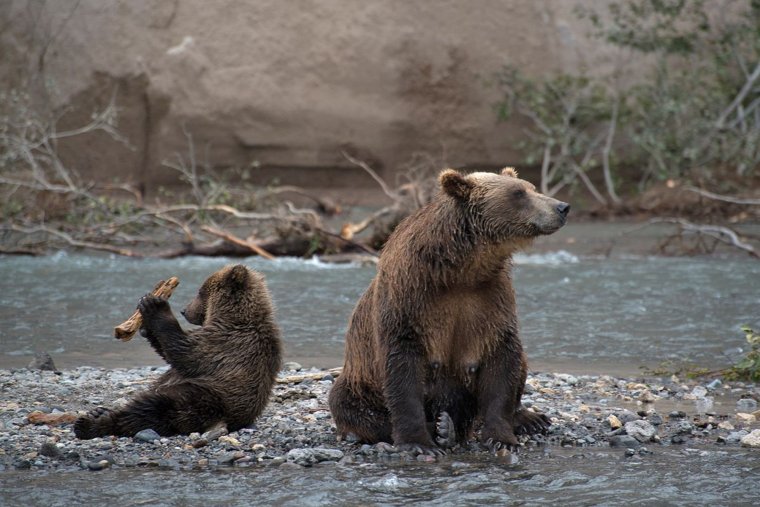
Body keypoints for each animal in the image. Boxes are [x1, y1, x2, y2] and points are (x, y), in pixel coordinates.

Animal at [73, 266, 282, 440]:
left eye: (200, 292)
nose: (183, 310)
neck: (231, 317)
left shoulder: (227, 342)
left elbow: (185, 352)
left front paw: (154, 305)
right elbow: (169, 354)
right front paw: (145, 325)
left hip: (203, 398)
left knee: (152, 409)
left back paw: (89, 424)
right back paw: (98, 412)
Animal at [330, 168, 568, 456]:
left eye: (531, 187)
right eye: (518, 193)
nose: (562, 207)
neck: (461, 269)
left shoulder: (491, 299)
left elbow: (502, 362)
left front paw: (501, 437)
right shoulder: (410, 297)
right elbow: (402, 365)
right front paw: (419, 443)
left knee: (520, 364)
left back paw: (527, 419)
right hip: (359, 382)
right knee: (351, 406)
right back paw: (441, 428)